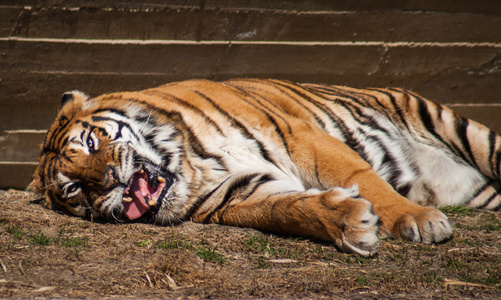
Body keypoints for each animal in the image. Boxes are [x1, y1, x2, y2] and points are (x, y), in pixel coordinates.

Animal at [30, 78, 500, 255]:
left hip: (458, 129)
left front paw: (415, 220)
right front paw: (350, 224)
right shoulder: (235, 193)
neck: (191, 163)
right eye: (73, 189)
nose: (109, 179)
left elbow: (363, 178)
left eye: (92, 143)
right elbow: (288, 210)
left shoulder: (300, 136)